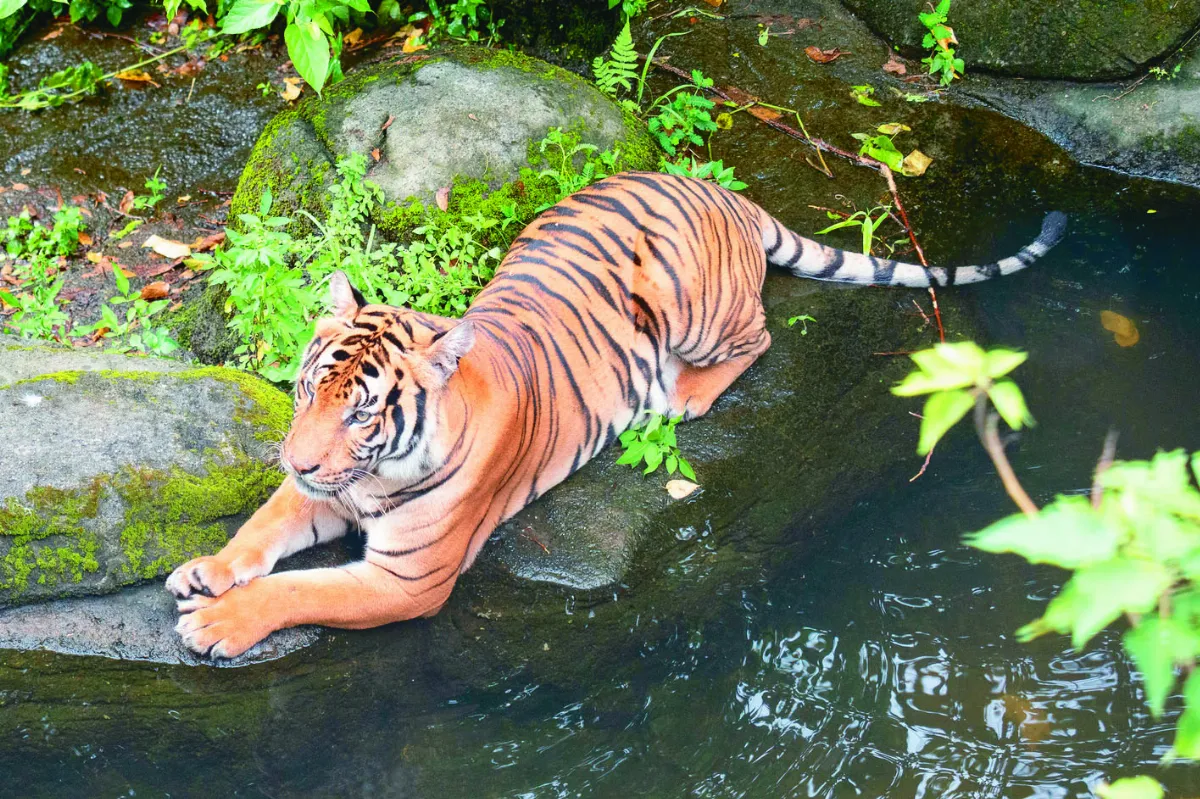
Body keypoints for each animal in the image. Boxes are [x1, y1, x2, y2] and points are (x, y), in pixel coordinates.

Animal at [168, 171, 1067, 658]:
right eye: (309, 391)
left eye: (362, 415)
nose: (299, 458)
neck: (371, 476)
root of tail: (723, 190)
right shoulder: (324, 494)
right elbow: (263, 527)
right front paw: (206, 569)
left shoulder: (404, 578)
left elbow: (301, 589)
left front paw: (217, 620)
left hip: (693, 306)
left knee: (761, 333)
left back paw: (684, 393)